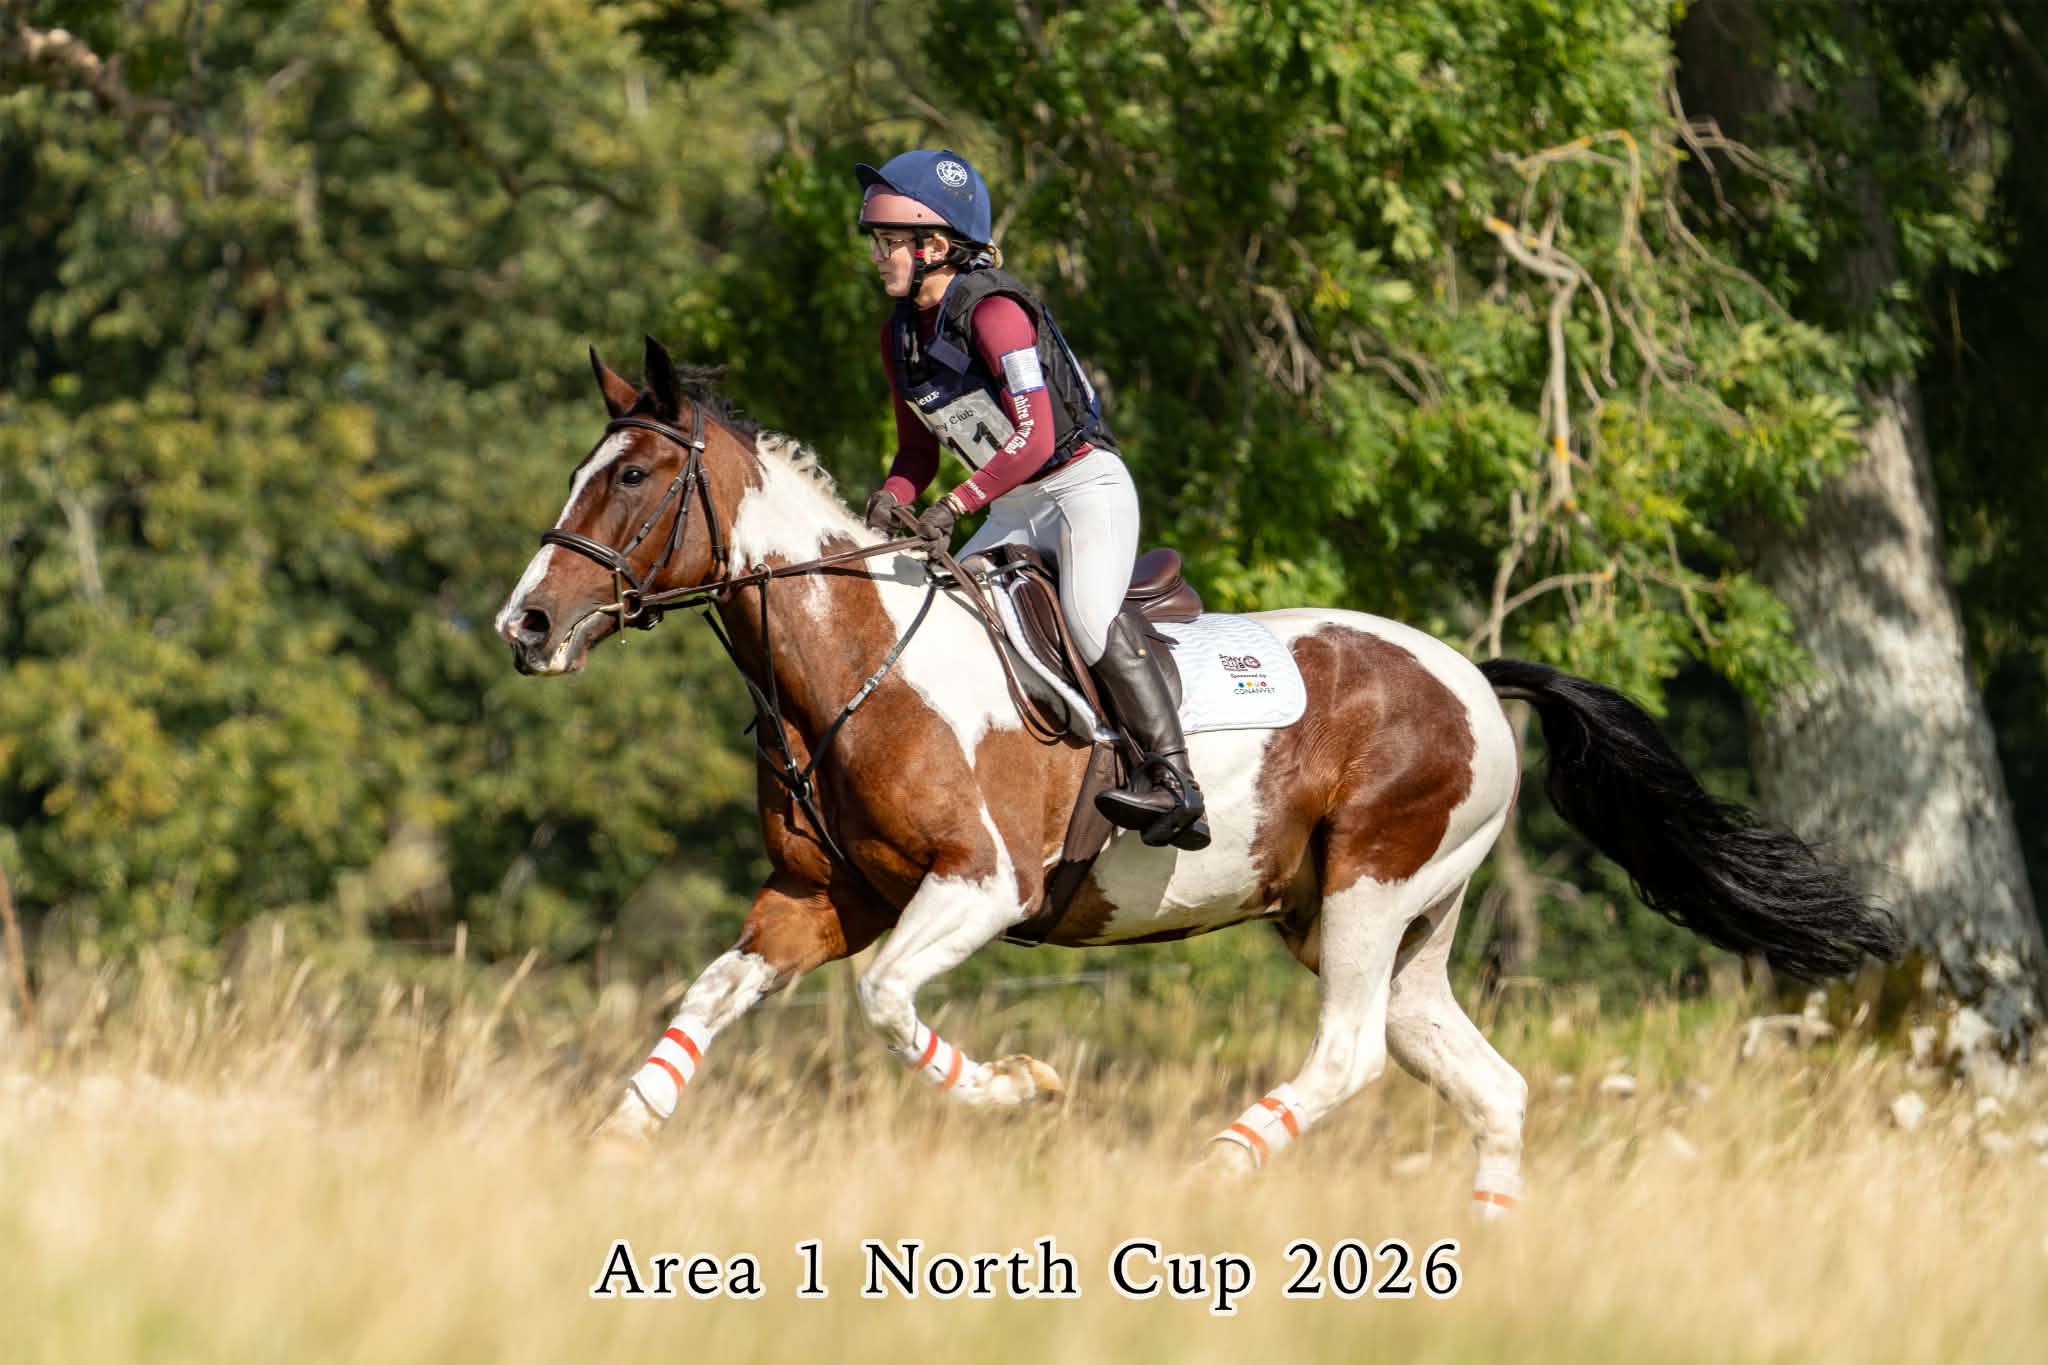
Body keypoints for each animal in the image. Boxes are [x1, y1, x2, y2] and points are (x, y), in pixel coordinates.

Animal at [495, 337, 1902, 1210]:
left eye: (633, 475)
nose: (525, 626)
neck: (852, 660)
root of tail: (1469, 673)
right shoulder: (818, 900)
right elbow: (707, 1000)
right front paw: (605, 1154)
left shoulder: (977, 889)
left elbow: (889, 1003)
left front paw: (1020, 1090)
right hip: (1386, 920)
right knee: (1479, 1081)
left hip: (1371, 888)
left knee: (1347, 1058)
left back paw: (1213, 1176)